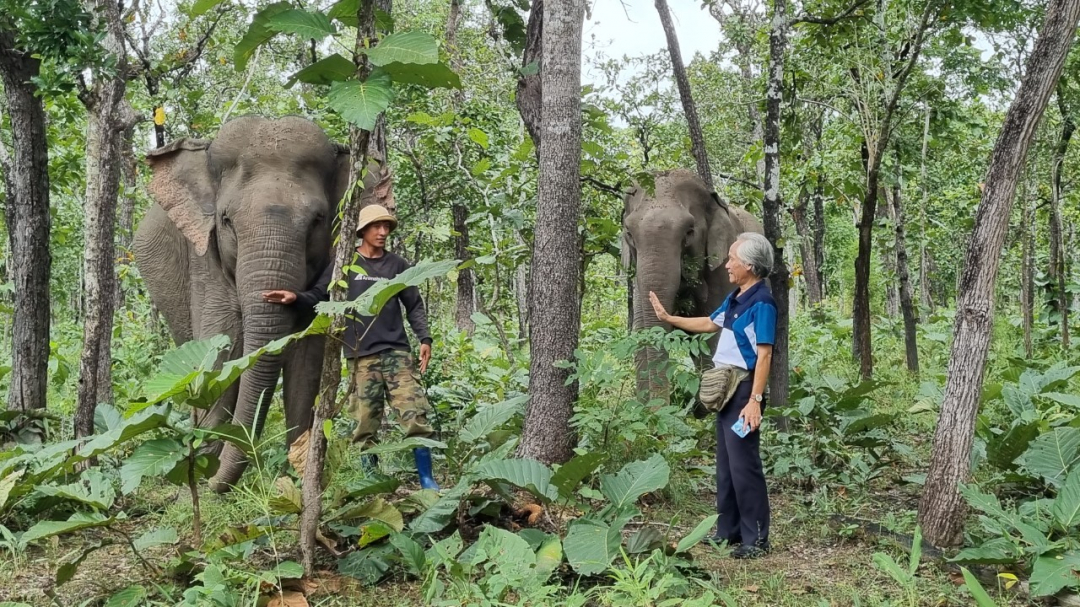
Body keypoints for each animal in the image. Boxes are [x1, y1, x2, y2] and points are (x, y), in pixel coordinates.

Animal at [132, 114, 390, 492]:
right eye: (225, 220)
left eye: (317, 220)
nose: (214, 481)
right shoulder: (205, 259)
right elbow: (221, 349)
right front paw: (207, 474)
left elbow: (305, 360)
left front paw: (298, 474)